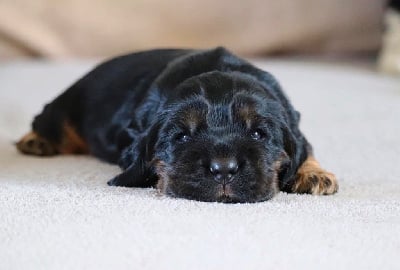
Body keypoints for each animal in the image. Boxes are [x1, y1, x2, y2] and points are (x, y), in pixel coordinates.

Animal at [17, 47, 340, 202]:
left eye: (259, 134)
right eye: (181, 136)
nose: (224, 169)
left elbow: (305, 146)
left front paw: (314, 174)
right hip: (69, 106)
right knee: (49, 119)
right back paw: (35, 140)